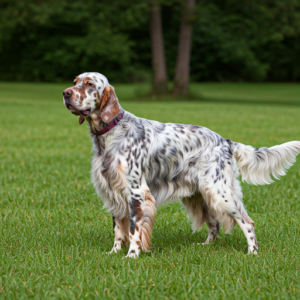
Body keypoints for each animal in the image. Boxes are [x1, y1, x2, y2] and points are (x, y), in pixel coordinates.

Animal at [62, 72, 300, 258]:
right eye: (75, 81)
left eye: (90, 84)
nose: (65, 93)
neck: (111, 134)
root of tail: (225, 141)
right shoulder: (114, 191)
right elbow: (118, 230)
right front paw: (114, 252)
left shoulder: (136, 191)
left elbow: (133, 229)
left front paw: (132, 255)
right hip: (200, 195)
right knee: (214, 224)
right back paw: (205, 246)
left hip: (219, 192)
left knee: (246, 222)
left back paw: (252, 252)